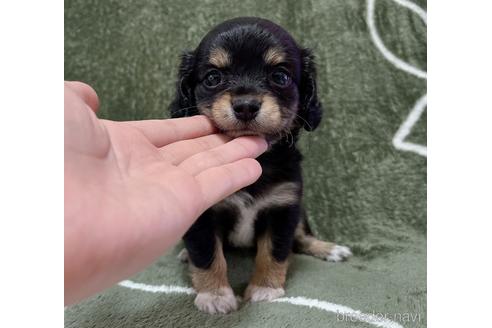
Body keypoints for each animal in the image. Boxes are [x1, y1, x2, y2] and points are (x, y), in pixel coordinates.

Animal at [169, 16, 350, 314]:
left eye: (280, 77)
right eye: (213, 78)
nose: (245, 105)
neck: (258, 160)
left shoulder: (284, 207)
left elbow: (274, 251)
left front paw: (265, 288)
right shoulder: (202, 214)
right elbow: (207, 254)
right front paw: (215, 295)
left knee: (302, 238)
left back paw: (329, 249)